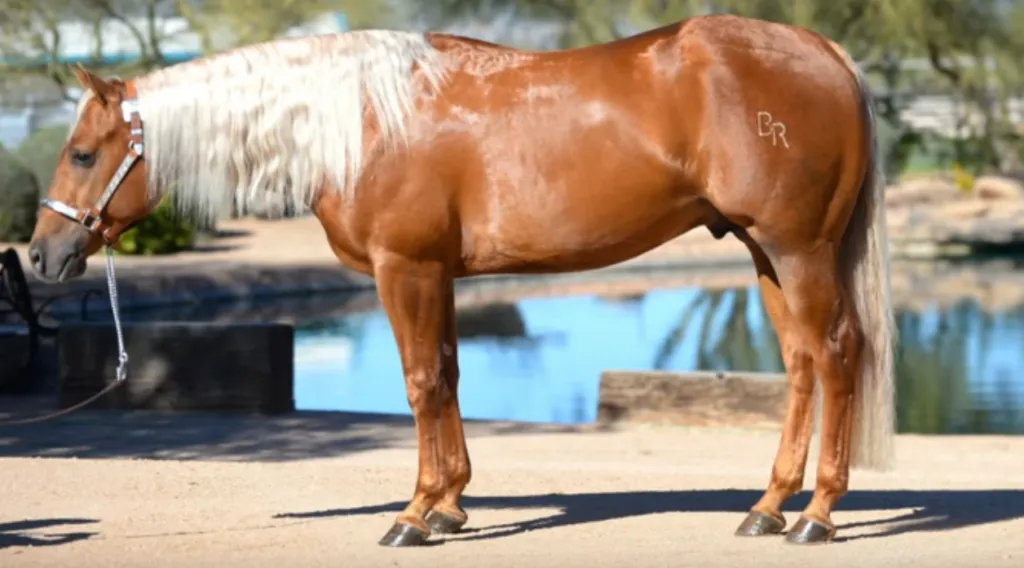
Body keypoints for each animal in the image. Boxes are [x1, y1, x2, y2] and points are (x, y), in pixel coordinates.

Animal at [27, 13, 896, 548]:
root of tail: (822, 52)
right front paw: (449, 506)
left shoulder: (404, 269)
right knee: (801, 364)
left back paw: (818, 515)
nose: (40, 255)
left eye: (82, 153)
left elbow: (418, 382)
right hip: (765, 252)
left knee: (838, 353)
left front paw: (413, 515)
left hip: (797, 249)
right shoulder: (437, 274)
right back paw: (768, 508)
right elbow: (445, 376)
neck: (361, 121)